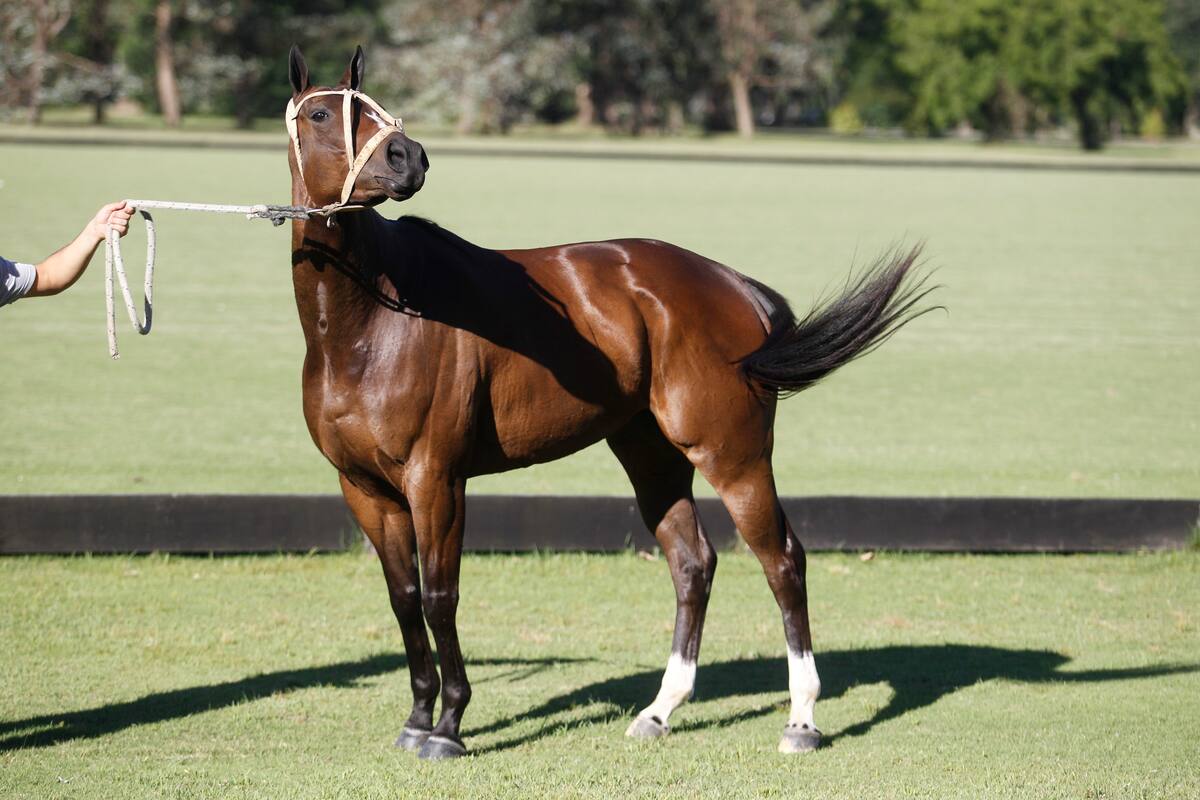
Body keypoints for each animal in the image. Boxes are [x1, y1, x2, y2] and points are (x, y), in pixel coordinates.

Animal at [284, 45, 935, 760]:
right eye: (321, 113)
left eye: (371, 110)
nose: (409, 158)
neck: (376, 318)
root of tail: (736, 286)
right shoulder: (365, 488)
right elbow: (403, 599)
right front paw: (418, 717)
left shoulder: (437, 479)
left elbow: (438, 595)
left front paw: (450, 725)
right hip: (650, 454)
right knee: (692, 562)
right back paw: (660, 710)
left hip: (730, 454)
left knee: (782, 561)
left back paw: (801, 720)